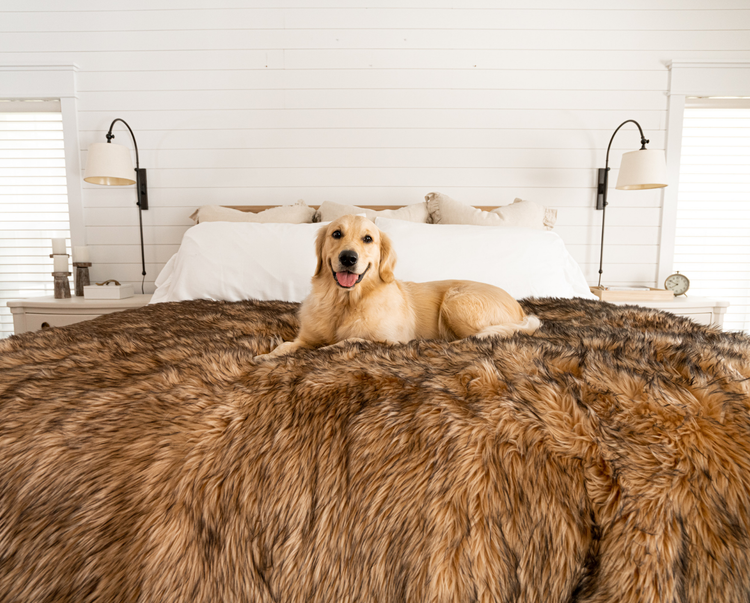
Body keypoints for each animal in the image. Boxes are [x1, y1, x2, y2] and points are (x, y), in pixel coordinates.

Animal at [258, 215, 540, 360]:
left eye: (368, 238)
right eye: (336, 234)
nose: (348, 258)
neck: (345, 301)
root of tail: (521, 310)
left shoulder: (392, 341)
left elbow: (349, 340)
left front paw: (322, 351)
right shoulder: (305, 337)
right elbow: (286, 345)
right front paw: (266, 357)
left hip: (456, 301)